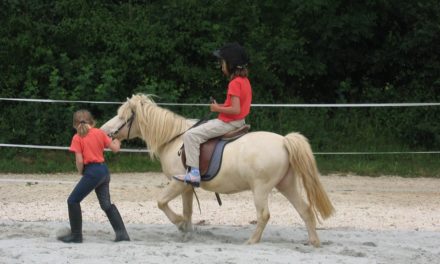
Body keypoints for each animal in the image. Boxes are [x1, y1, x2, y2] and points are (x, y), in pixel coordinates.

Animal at [101, 94, 336, 246]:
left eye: (122, 116)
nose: (104, 131)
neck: (174, 138)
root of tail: (284, 141)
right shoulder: (186, 187)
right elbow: (188, 211)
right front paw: (187, 232)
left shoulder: (177, 183)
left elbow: (161, 203)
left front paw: (179, 224)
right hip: (286, 184)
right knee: (305, 210)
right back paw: (314, 242)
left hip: (261, 189)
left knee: (264, 215)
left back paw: (252, 241)